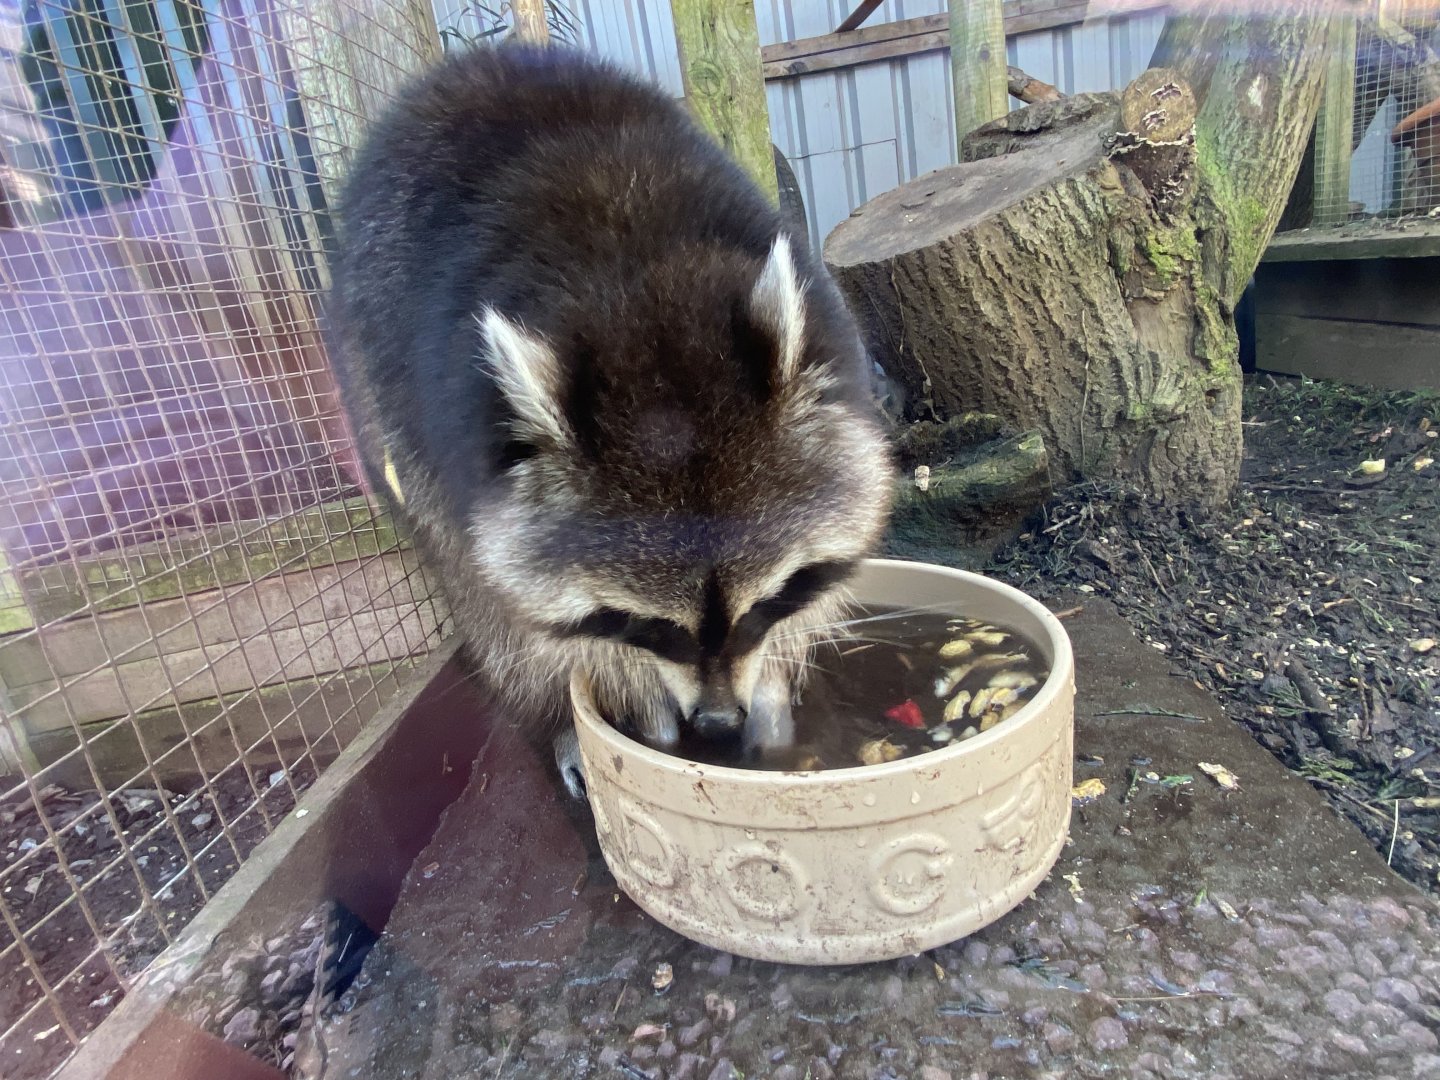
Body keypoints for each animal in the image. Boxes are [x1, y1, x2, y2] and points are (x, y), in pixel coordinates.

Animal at [327, 44, 892, 795]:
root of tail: (475, 62)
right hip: (378, 393)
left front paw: (773, 686)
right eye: (645, 624)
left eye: (762, 605)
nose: (718, 723)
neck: (636, 294)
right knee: (475, 592)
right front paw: (635, 710)